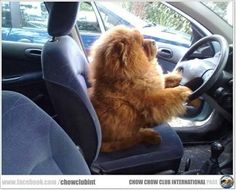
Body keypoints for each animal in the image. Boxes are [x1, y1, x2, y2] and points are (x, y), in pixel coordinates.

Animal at [88, 25, 192, 153]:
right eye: (141, 45)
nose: (154, 41)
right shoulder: (151, 99)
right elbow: (167, 94)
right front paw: (183, 90)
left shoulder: (155, 82)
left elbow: (164, 79)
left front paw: (176, 77)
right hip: (119, 138)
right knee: (135, 137)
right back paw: (150, 135)